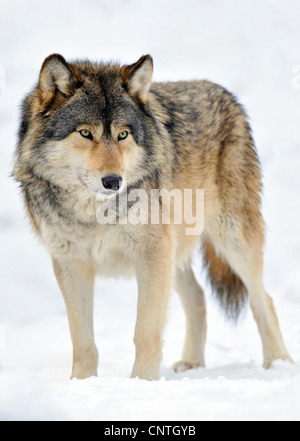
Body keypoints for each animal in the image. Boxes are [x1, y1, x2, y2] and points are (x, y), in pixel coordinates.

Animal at [12, 54, 292, 378]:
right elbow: (82, 340)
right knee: (199, 298)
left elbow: (145, 331)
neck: (94, 213)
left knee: (263, 299)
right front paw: (82, 382)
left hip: (232, 240)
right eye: (85, 133)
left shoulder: (152, 253)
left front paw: (142, 382)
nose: (113, 181)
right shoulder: (71, 263)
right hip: (176, 253)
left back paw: (278, 362)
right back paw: (192, 363)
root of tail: (222, 92)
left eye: (123, 135)